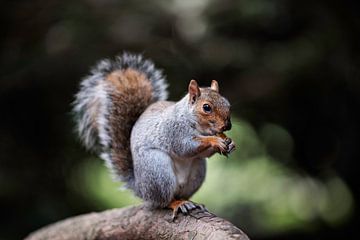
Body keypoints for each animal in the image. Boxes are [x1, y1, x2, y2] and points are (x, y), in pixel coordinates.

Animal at [73, 53, 236, 218]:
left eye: (228, 104)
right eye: (206, 107)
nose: (227, 126)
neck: (198, 126)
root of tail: (141, 188)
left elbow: (204, 153)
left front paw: (229, 143)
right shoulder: (173, 131)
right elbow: (185, 147)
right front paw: (215, 140)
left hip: (197, 171)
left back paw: (189, 201)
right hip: (158, 171)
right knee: (163, 201)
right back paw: (177, 203)